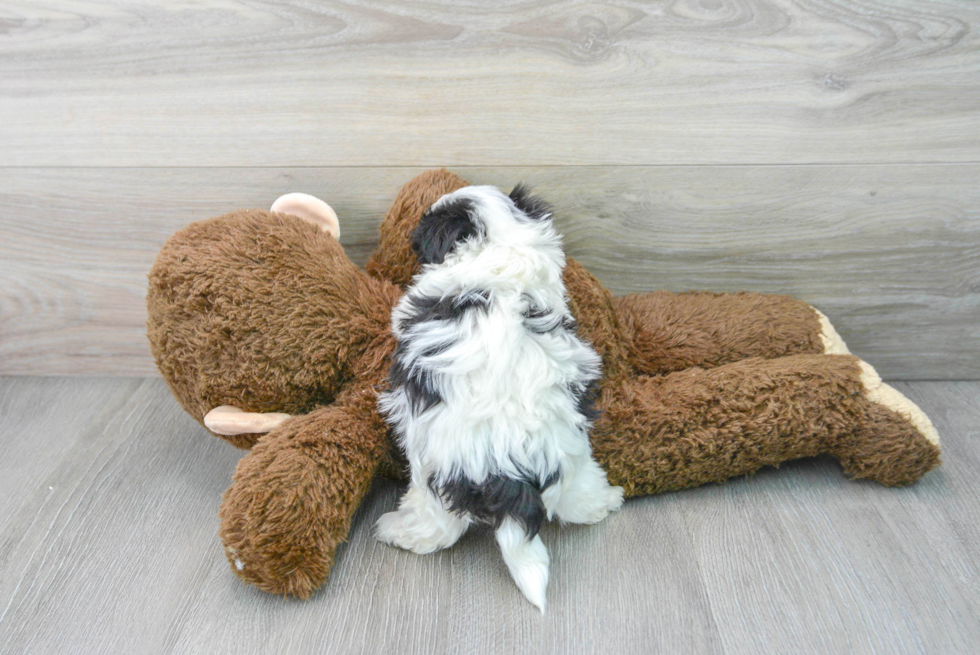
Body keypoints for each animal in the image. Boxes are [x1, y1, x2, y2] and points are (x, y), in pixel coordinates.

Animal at [376, 183, 620, 608]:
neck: (502, 247)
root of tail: (510, 474)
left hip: (431, 467)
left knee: (439, 525)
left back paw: (399, 531)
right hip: (573, 449)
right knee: (577, 491)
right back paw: (605, 501)